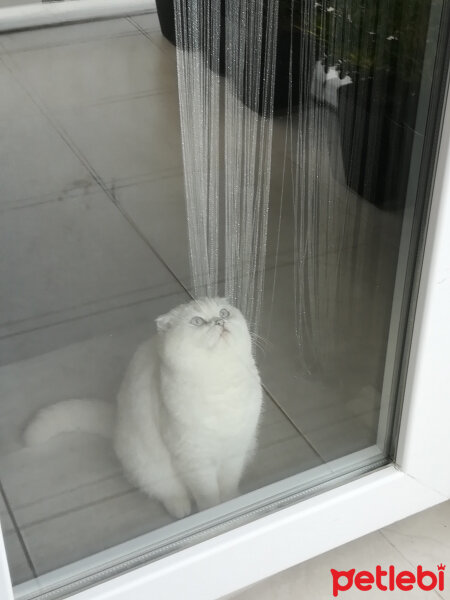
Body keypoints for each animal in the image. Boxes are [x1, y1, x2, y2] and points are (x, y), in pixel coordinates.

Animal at [23, 298, 264, 516]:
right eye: (197, 321)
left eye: (224, 313)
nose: (219, 322)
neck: (221, 382)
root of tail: (116, 420)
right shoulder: (194, 458)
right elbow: (208, 495)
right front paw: (214, 511)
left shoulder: (236, 448)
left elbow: (228, 485)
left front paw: (233, 502)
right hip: (149, 467)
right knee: (168, 493)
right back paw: (181, 510)